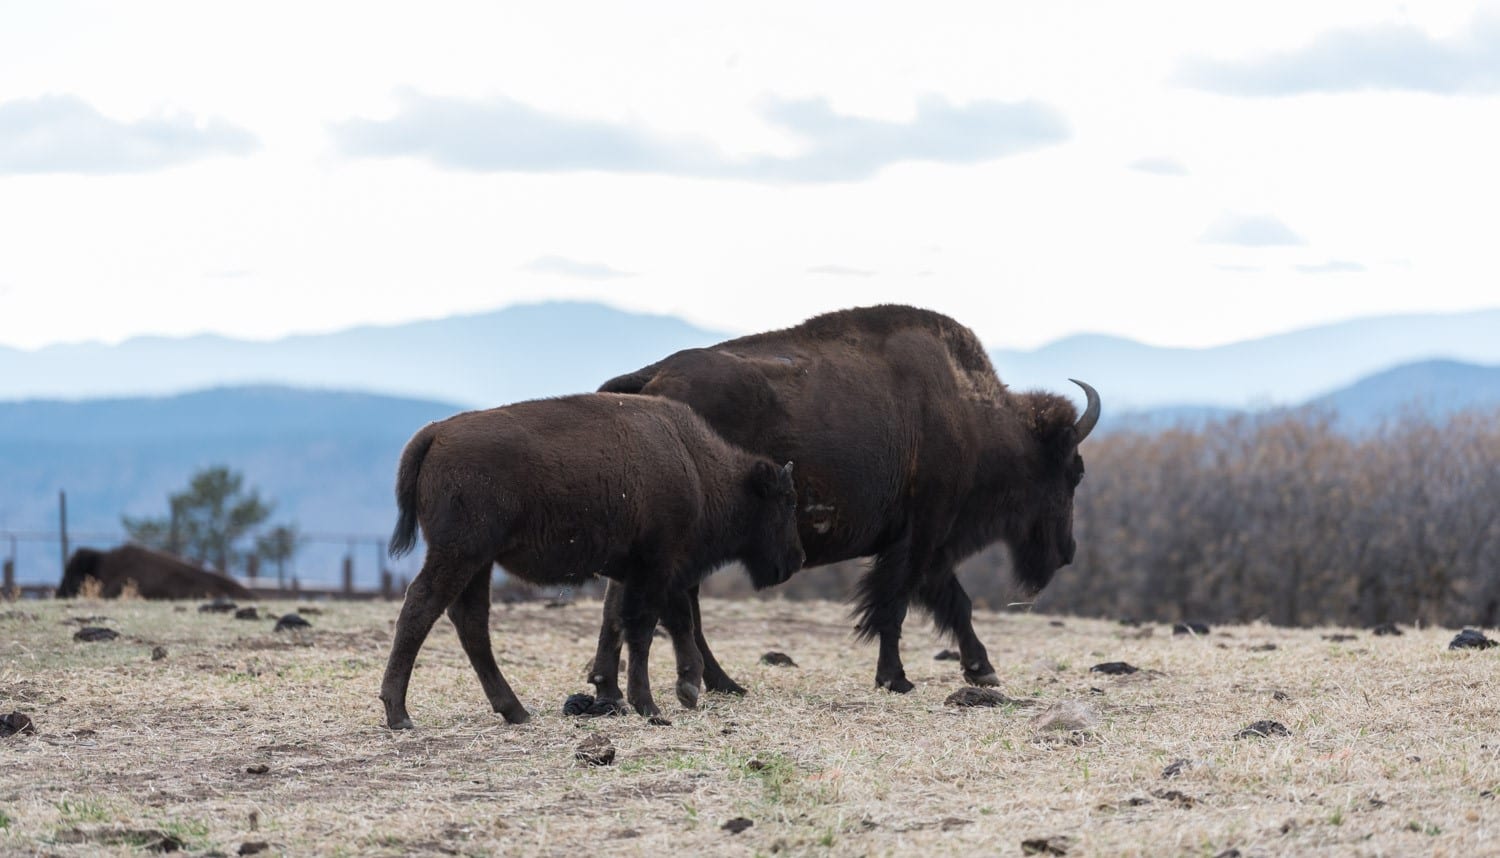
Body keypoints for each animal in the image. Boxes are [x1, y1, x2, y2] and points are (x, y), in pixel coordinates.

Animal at [384, 393, 810, 726]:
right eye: (786, 501)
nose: (797, 558)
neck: (696, 465)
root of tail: (434, 434)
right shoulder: (656, 567)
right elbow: (645, 628)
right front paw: (650, 706)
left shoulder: (649, 572)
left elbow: (659, 622)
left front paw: (683, 689)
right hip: (460, 554)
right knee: (421, 607)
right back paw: (398, 714)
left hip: (478, 563)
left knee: (470, 622)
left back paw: (515, 711)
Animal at [591, 304, 1098, 693]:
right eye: (1073, 472)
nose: (1068, 552)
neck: (974, 419)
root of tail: (650, 379)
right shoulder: (923, 535)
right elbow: (895, 605)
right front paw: (897, 678)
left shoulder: (930, 544)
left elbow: (953, 602)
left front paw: (981, 670)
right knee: (680, 604)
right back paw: (714, 682)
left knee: (630, 597)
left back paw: (611, 688)